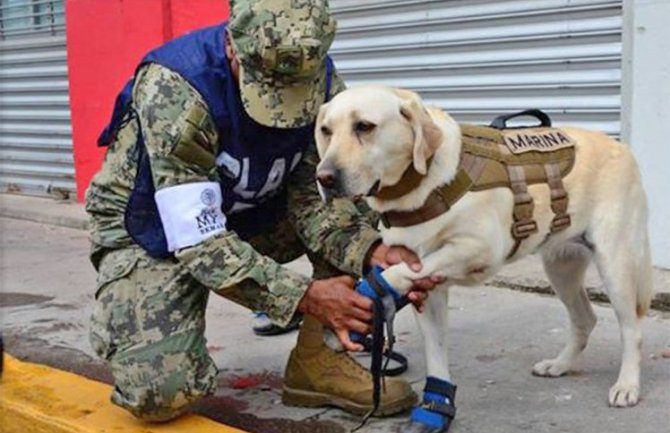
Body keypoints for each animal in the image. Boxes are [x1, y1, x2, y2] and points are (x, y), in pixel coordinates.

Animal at [316, 87, 656, 426]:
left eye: (364, 126)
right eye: (326, 131)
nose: (324, 177)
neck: (419, 186)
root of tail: (621, 147)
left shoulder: (480, 249)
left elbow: (399, 271)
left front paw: (369, 292)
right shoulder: (429, 291)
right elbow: (435, 353)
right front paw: (435, 408)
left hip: (615, 265)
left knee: (633, 330)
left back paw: (627, 385)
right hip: (561, 268)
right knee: (585, 318)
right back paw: (559, 364)